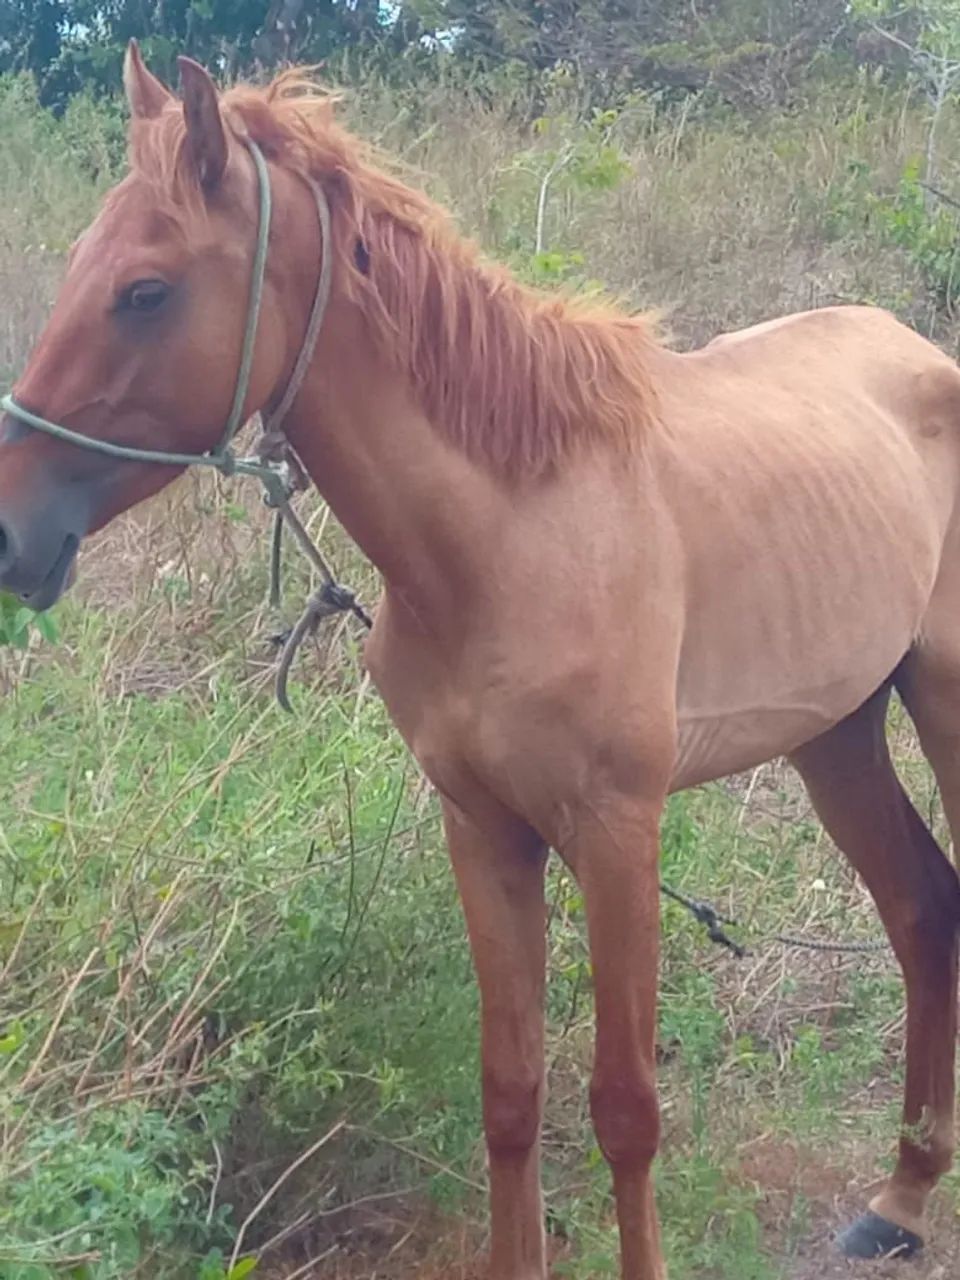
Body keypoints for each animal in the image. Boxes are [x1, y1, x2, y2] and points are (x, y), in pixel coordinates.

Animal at [2, 42, 960, 1280]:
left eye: (146, 290)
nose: (12, 533)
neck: (509, 535)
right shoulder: (484, 826)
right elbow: (511, 1091)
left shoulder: (617, 832)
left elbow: (625, 1106)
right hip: (837, 733)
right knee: (922, 907)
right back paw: (900, 1199)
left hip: (939, 701)